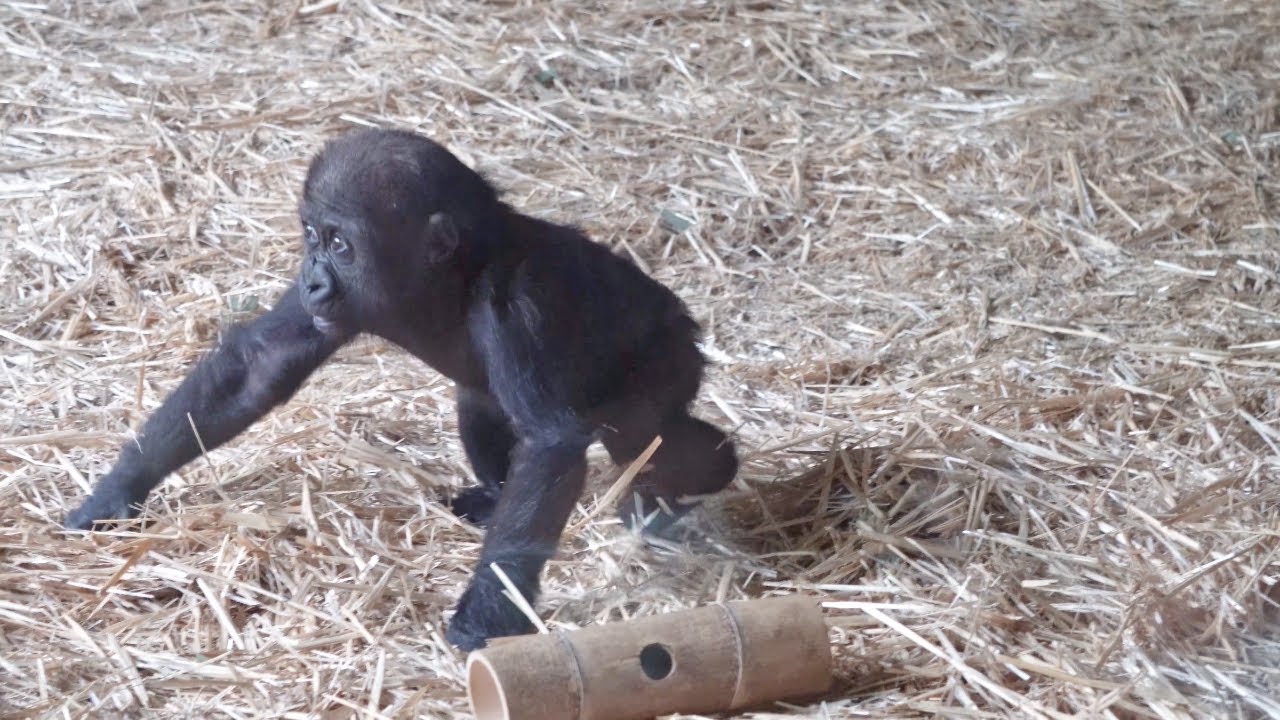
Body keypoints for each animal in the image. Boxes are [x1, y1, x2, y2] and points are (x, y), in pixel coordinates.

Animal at [63, 128, 739, 651]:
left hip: (669, 362)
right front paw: (117, 490)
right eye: (311, 237)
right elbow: (258, 365)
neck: (457, 273)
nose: (311, 280)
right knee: (484, 407)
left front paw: (488, 612)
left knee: (656, 441)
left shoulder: (521, 306)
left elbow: (549, 446)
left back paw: (692, 481)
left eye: (341, 244)